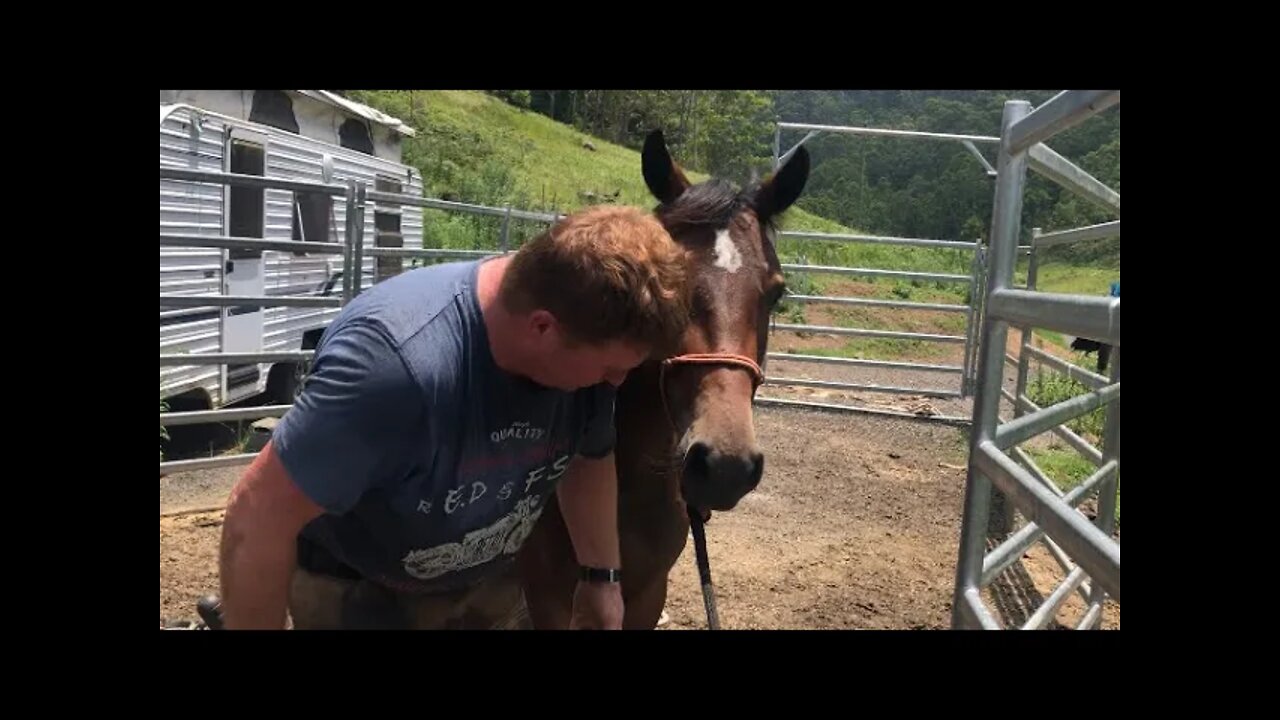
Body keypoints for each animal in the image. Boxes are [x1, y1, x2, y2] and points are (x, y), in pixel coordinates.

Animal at [517, 130, 808, 627]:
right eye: (663, 282)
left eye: (776, 292)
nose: (726, 466)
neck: (624, 487)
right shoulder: (547, 599)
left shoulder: (648, 596)